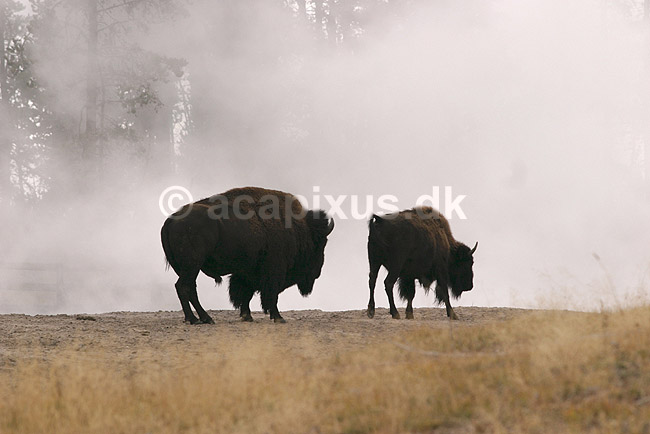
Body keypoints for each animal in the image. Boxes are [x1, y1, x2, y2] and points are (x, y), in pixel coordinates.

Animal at [161, 187, 334, 324]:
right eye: (321, 244)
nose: (317, 273)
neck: (297, 228)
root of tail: (170, 221)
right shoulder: (273, 271)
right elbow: (271, 295)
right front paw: (278, 318)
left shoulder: (247, 272)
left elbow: (246, 294)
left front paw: (247, 316)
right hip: (192, 265)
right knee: (184, 287)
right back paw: (195, 319)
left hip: (188, 268)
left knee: (190, 289)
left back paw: (204, 318)